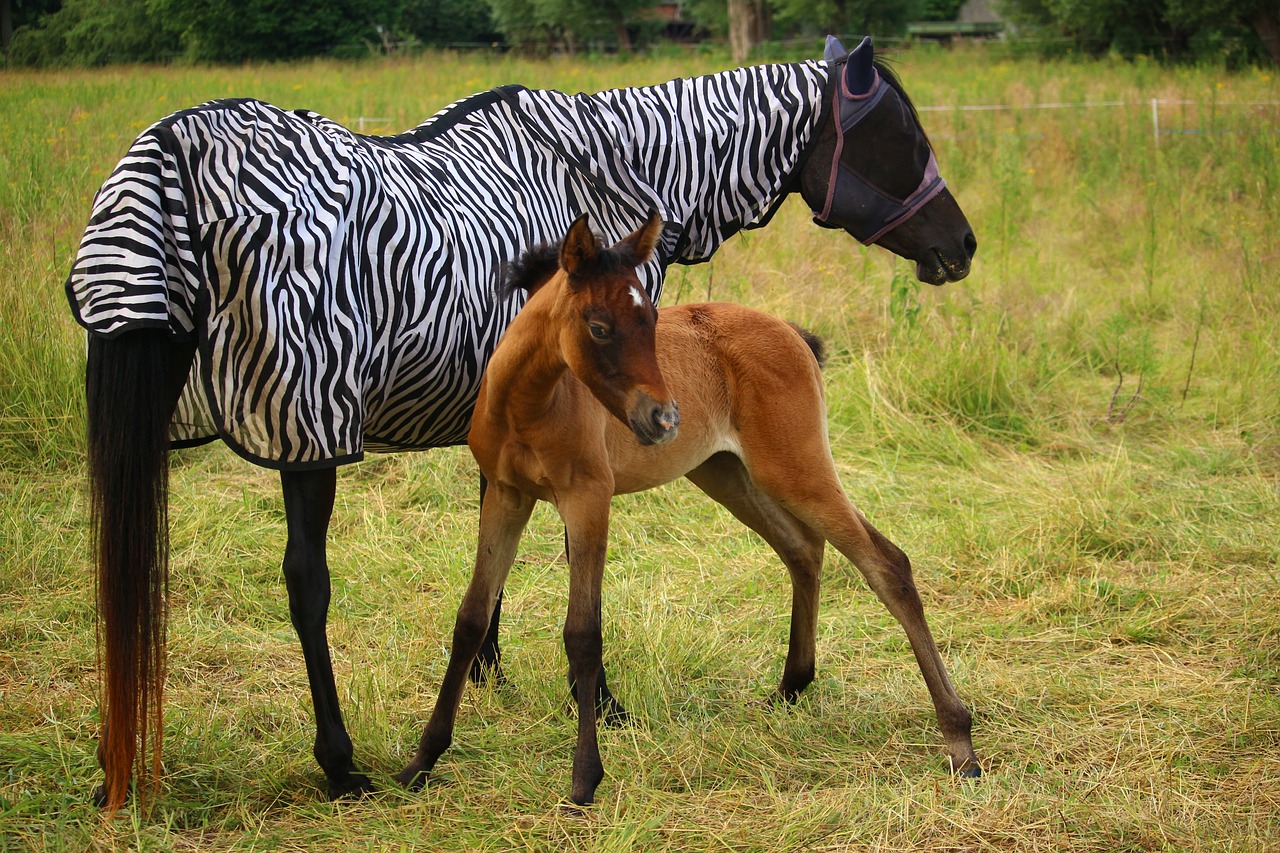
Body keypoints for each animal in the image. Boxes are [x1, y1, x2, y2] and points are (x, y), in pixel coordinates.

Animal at [394, 212, 972, 804]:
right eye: (599, 327)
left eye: (651, 317)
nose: (663, 417)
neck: (528, 403)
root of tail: (792, 332)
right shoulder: (507, 495)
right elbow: (471, 617)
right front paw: (421, 761)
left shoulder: (587, 498)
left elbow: (583, 633)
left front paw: (585, 778)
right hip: (728, 473)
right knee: (804, 549)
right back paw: (791, 686)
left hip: (795, 468)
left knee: (886, 563)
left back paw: (959, 740)